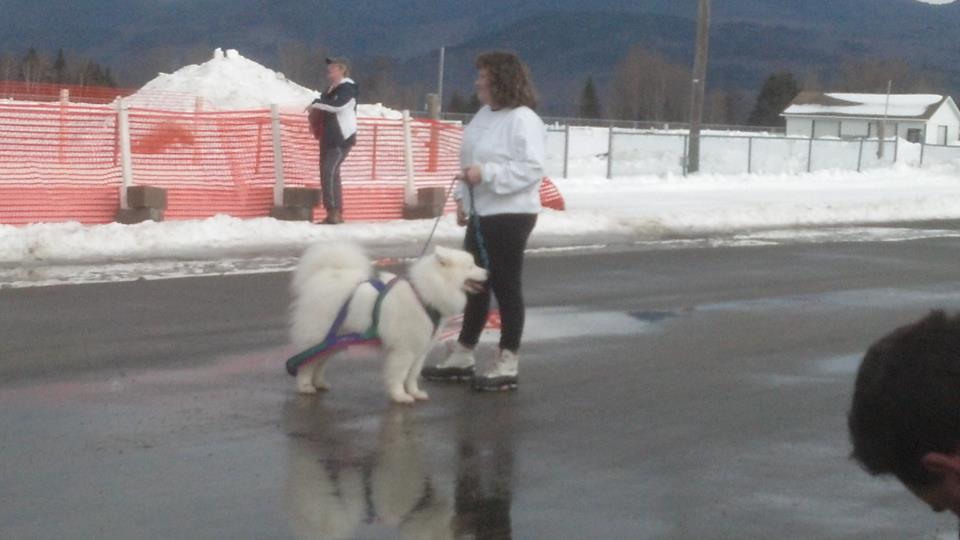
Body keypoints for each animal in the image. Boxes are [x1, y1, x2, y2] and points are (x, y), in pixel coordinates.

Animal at [286, 243, 488, 402]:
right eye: (471, 266)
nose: (488, 271)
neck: (423, 296)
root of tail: (325, 273)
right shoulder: (404, 350)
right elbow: (399, 375)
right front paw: (400, 396)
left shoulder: (420, 349)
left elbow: (412, 375)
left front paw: (415, 393)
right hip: (318, 334)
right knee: (306, 362)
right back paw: (305, 386)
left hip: (335, 339)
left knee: (319, 360)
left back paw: (319, 382)